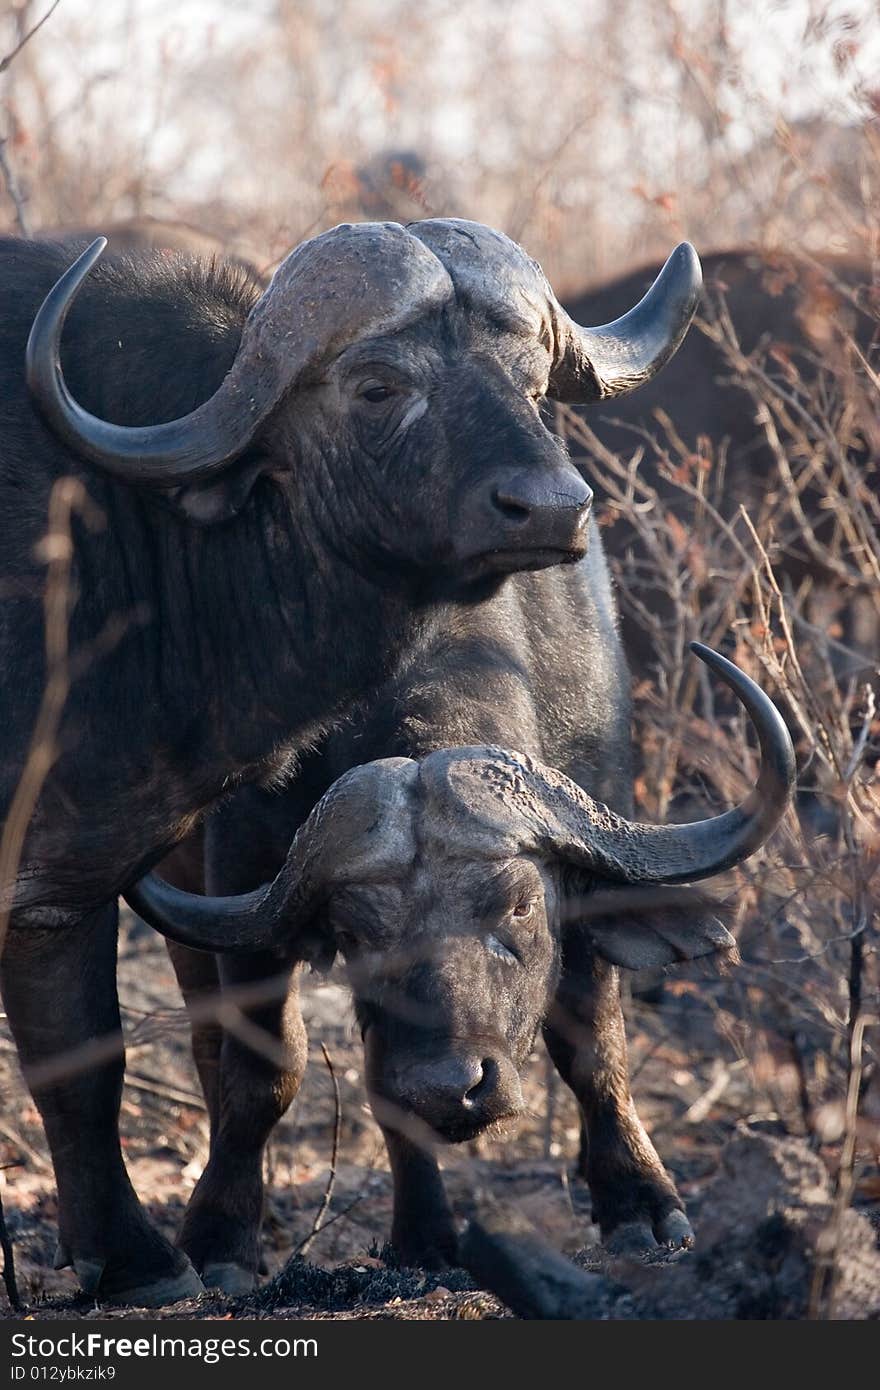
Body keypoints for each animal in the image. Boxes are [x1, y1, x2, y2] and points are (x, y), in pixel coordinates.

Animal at [0, 216, 700, 1301]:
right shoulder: (146, 877)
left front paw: (637, 1200)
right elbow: (167, 1064)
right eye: (377, 386)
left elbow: (591, 1035)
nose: (550, 507)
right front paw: (168, 1254)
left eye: (529, 377)